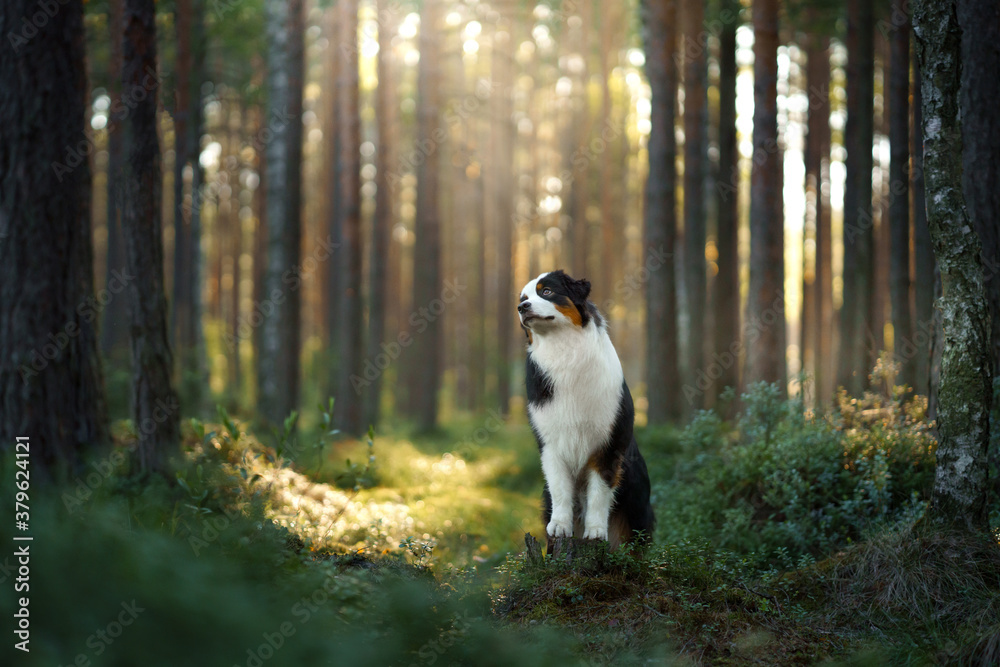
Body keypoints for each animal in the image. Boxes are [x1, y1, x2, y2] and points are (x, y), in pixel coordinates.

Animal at [516, 268, 656, 552]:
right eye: (523, 298)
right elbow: (560, 488)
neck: (563, 350)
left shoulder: (608, 444)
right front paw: (560, 525)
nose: (521, 308)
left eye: (547, 291)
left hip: (637, 503)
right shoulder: (550, 443)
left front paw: (595, 531)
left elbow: (599, 492)